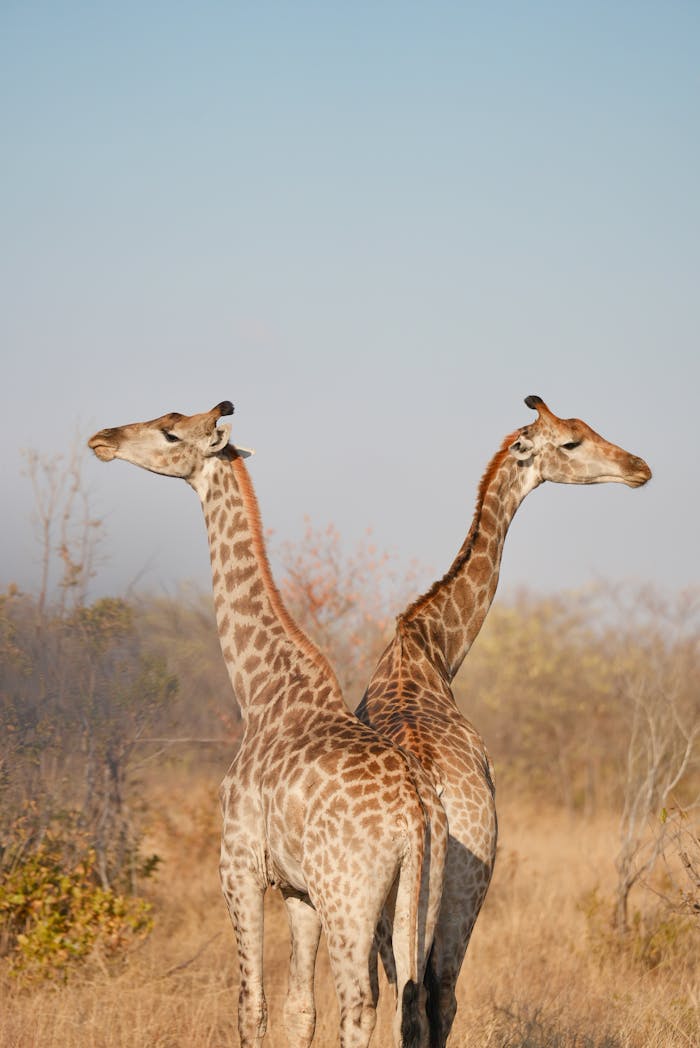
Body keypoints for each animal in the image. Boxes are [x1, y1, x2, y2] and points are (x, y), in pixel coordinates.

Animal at [88, 401, 448, 1048]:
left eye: (169, 432)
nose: (102, 439)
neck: (258, 693)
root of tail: (414, 815)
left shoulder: (238, 865)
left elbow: (249, 1003)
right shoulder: (297, 888)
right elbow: (298, 1007)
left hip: (349, 894)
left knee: (360, 1003)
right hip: (420, 893)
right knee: (413, 1002)